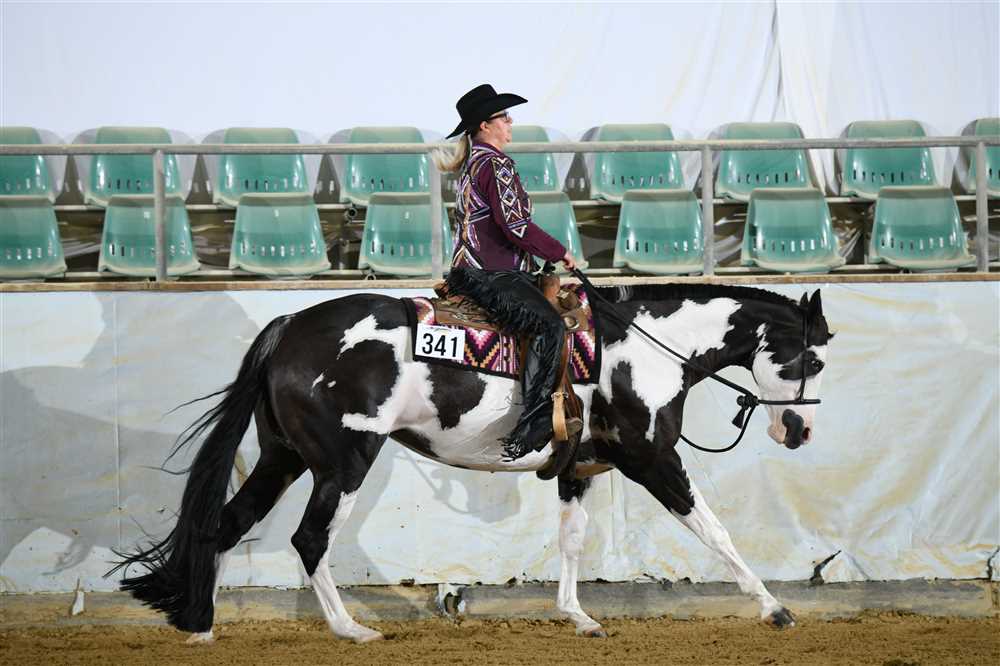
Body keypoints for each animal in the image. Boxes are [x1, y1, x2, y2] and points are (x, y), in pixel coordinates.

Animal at [111, 280, 832, 644]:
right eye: (813, 358)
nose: (800, 430)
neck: (640, 348)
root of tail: (289, 326)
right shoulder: (651, 458)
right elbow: (715, 530)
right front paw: (775, 610)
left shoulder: (577, 470)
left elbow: (572, 541)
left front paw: (578, 617)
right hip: (344, 462)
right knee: (309, 537)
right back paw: (350, 629)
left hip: (282, 457)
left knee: (226, 525)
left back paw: (201, 628)